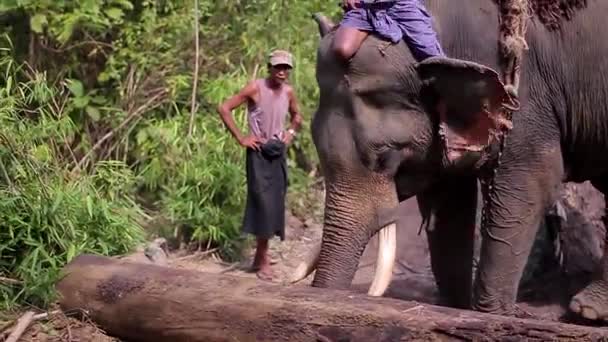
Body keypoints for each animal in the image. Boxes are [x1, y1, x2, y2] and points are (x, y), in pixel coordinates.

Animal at [290, 0, 608, 320]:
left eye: (384, 158)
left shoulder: (524, 99)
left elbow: (529, 186)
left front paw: (490, 316)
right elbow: (450, 206)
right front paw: (456, 309)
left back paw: (586, 311)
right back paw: (590, 309)